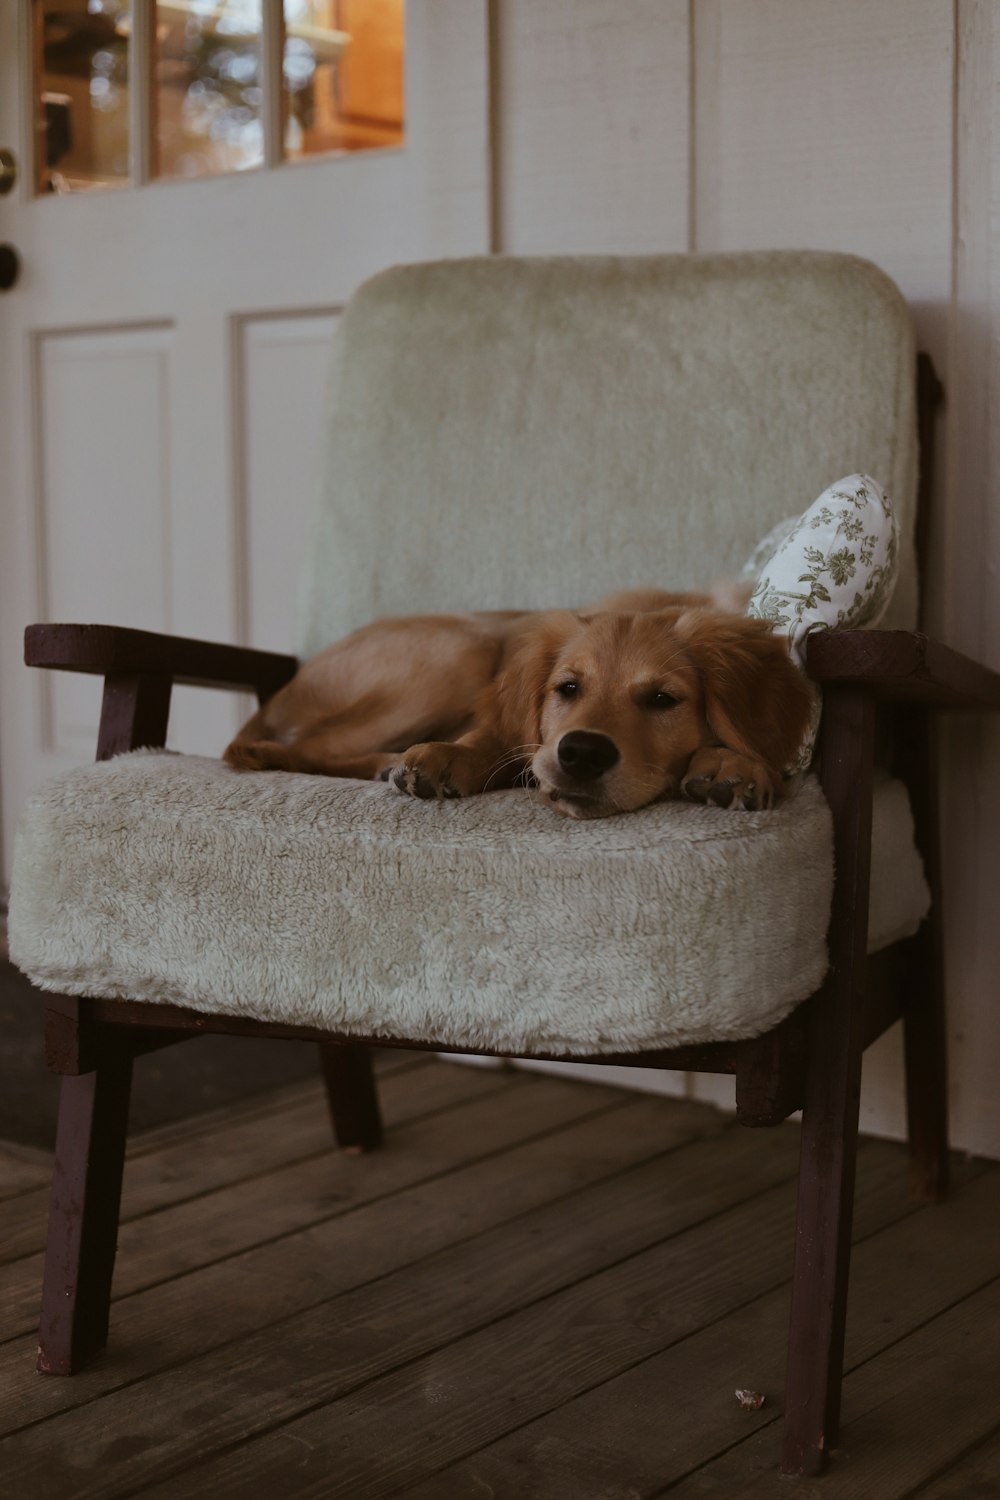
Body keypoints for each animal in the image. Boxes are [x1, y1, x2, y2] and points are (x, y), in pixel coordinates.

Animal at [224, 585, 815, 822]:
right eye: (567, 688)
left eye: (662, 699)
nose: (582, 753)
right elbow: (499, 737)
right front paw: (450, 756)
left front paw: (732, 764)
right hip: (465, 650)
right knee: (301, 745)